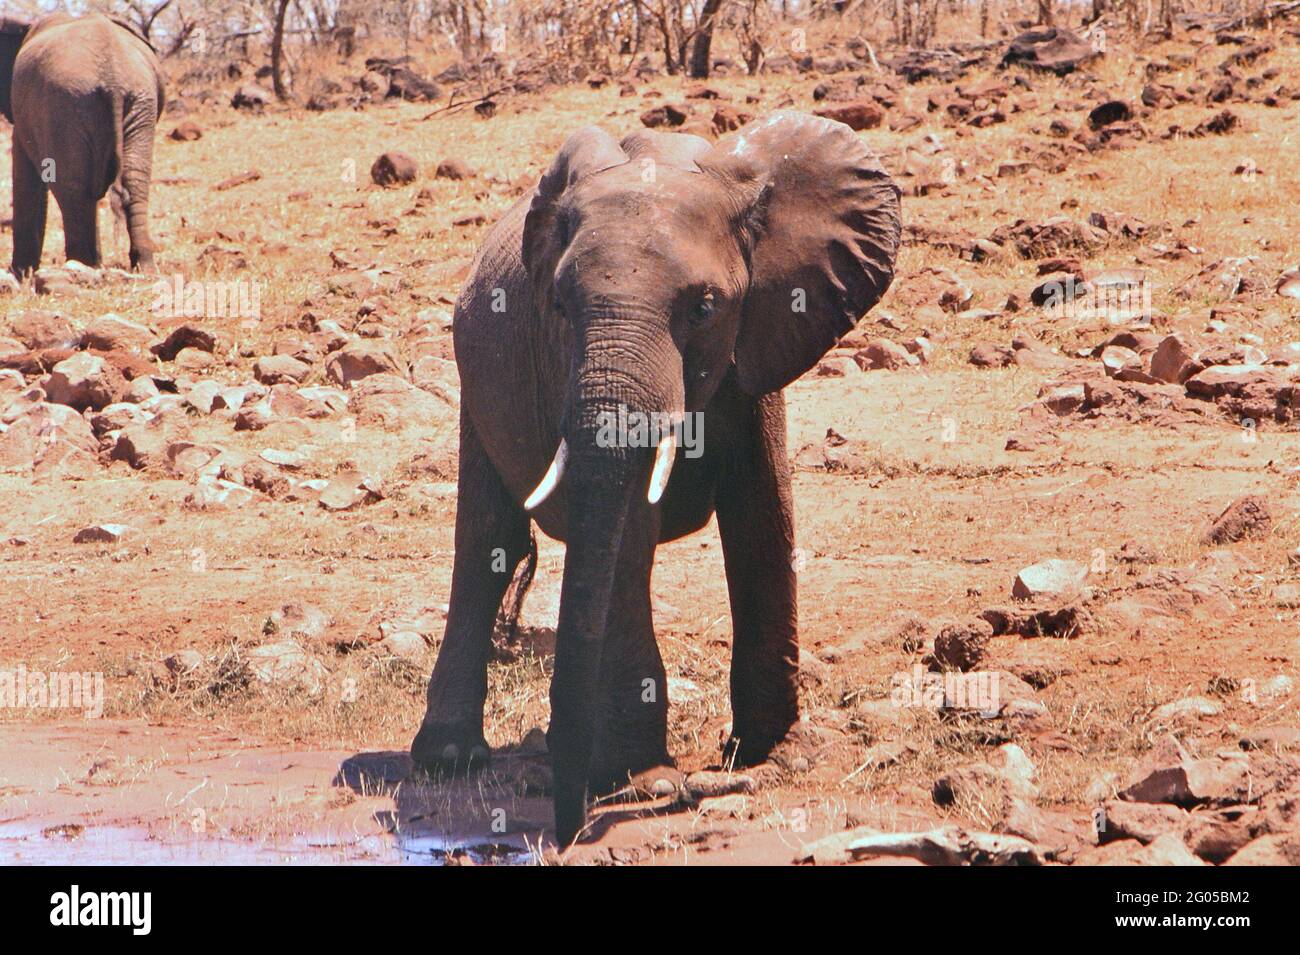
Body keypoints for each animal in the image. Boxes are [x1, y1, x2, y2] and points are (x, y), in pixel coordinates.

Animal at [0, 14, 165, 276]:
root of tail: (113, 76)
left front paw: (21, 273)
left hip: (65, 103)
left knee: (72, 187)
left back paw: (80, 266)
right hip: (139, 102)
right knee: (134, 181)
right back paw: (142, 267)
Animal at [413, 110, 904, 841]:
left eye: (704, 307)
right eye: (559, 305)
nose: (566, 830)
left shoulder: (761, 339)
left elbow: (763, 518)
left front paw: (775, 758)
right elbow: (627, 538)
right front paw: (650, 783)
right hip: (474, 379)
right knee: (485, 544)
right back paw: (448, 759)